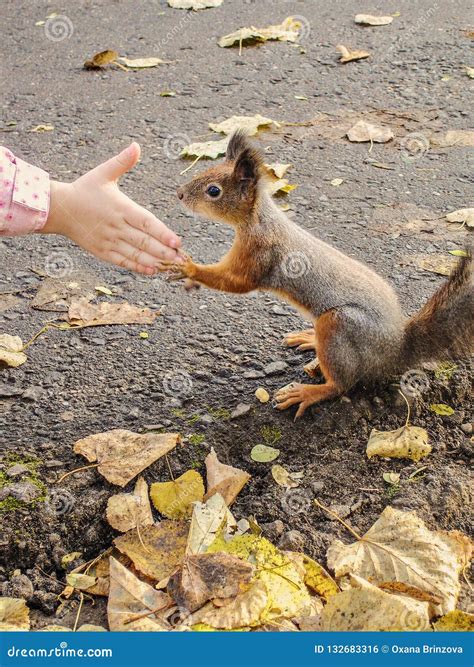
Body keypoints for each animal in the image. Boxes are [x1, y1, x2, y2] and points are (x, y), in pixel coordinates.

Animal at [169, 132, 470, 418]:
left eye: (213, 191)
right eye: (204, 172)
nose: (179, 194)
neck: (259, 219)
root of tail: (395, 348)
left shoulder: (259, 254)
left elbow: (236, 282)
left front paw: (188, 268)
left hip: (340, 326)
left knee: (342, 384)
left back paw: (306, 392)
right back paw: (310, 340)